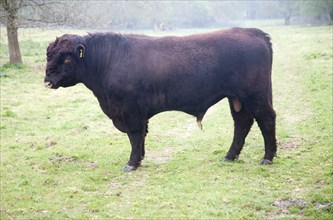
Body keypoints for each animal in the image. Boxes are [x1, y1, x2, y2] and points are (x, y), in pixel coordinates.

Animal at [44, 27, 278, 172]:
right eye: (49, 55)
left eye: (66, 58)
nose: (47, 80)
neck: (106, 61)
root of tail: (254, 32)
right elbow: (141, 137)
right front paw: (140, 159)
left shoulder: (131, 111)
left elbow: (135, 136)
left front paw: (131, 163)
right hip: (237, 98)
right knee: (242, 123)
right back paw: (230, 156)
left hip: (255, 96)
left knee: (266, 120)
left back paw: (267, 157)